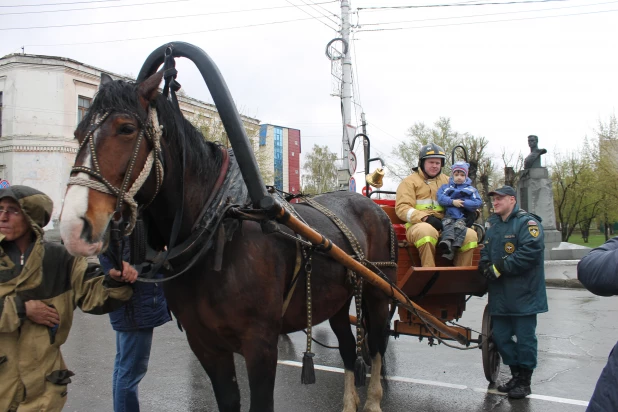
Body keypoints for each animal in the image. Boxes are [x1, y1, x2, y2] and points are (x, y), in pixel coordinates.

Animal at [57, 69, 394, 410]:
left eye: (126, 128)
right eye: (78, 131)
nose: (73, 225)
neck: (217, 226)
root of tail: (369, 203)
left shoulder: (260, 345)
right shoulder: (205, 344)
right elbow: (228, 399)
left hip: (379, 294)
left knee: (377, 342)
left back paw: (373, 399)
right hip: (336, 299)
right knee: (349, 348)